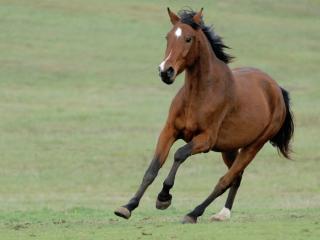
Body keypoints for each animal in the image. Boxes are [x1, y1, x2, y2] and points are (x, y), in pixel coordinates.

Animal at [114, 7, 294, 225]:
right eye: (167, 37)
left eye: (188, 39)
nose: (165, 72)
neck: (199, 95)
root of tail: (277, 89)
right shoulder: (169, 131)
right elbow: (152, 168)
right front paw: (127, 206)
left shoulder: (206, 140)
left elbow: (179, 154)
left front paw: (164, 197)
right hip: (229, 148)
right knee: (236, 177)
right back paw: (222, 213)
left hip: (253, 146)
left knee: (225, 180)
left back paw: (194, 213)